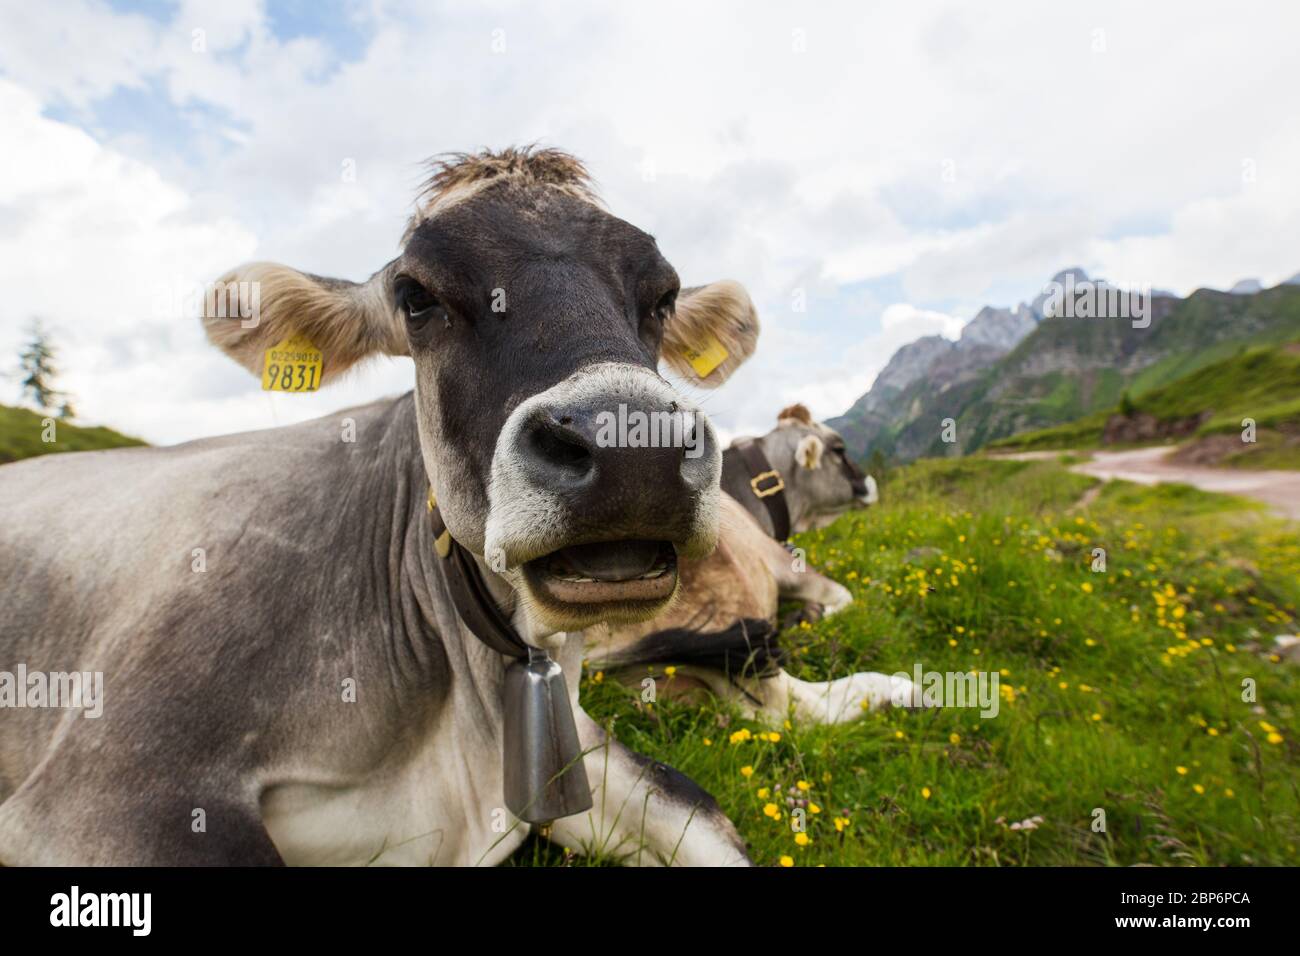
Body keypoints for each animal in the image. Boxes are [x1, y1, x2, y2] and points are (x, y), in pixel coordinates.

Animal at [579, 405, 915, 723]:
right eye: (839, 449)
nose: (871, 482)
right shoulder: (780, 561)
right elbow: (844, 594)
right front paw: (814, 614)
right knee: (803, 708)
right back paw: (900, 688)